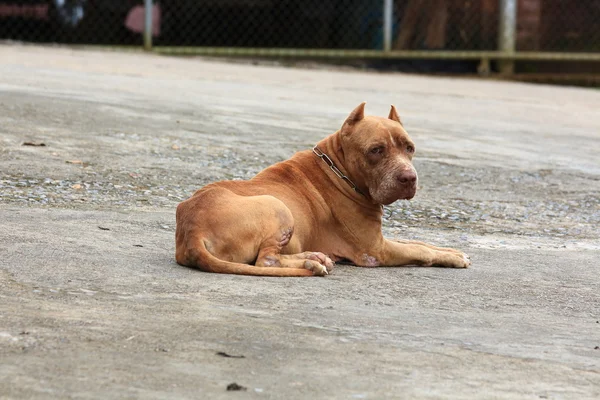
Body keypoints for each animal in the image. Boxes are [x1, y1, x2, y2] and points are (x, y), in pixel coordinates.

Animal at [176, 102, 472, 276]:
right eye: (376, 150)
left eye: (409, 148)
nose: (409, 178)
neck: (340, 172)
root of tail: (191, 232)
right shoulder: (376, 250)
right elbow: (419, 251)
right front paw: (451, 259)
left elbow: (419, 242)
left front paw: (452, 251)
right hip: (276, 205)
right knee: (266, 260)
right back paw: (311, 262)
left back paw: (313, 257)